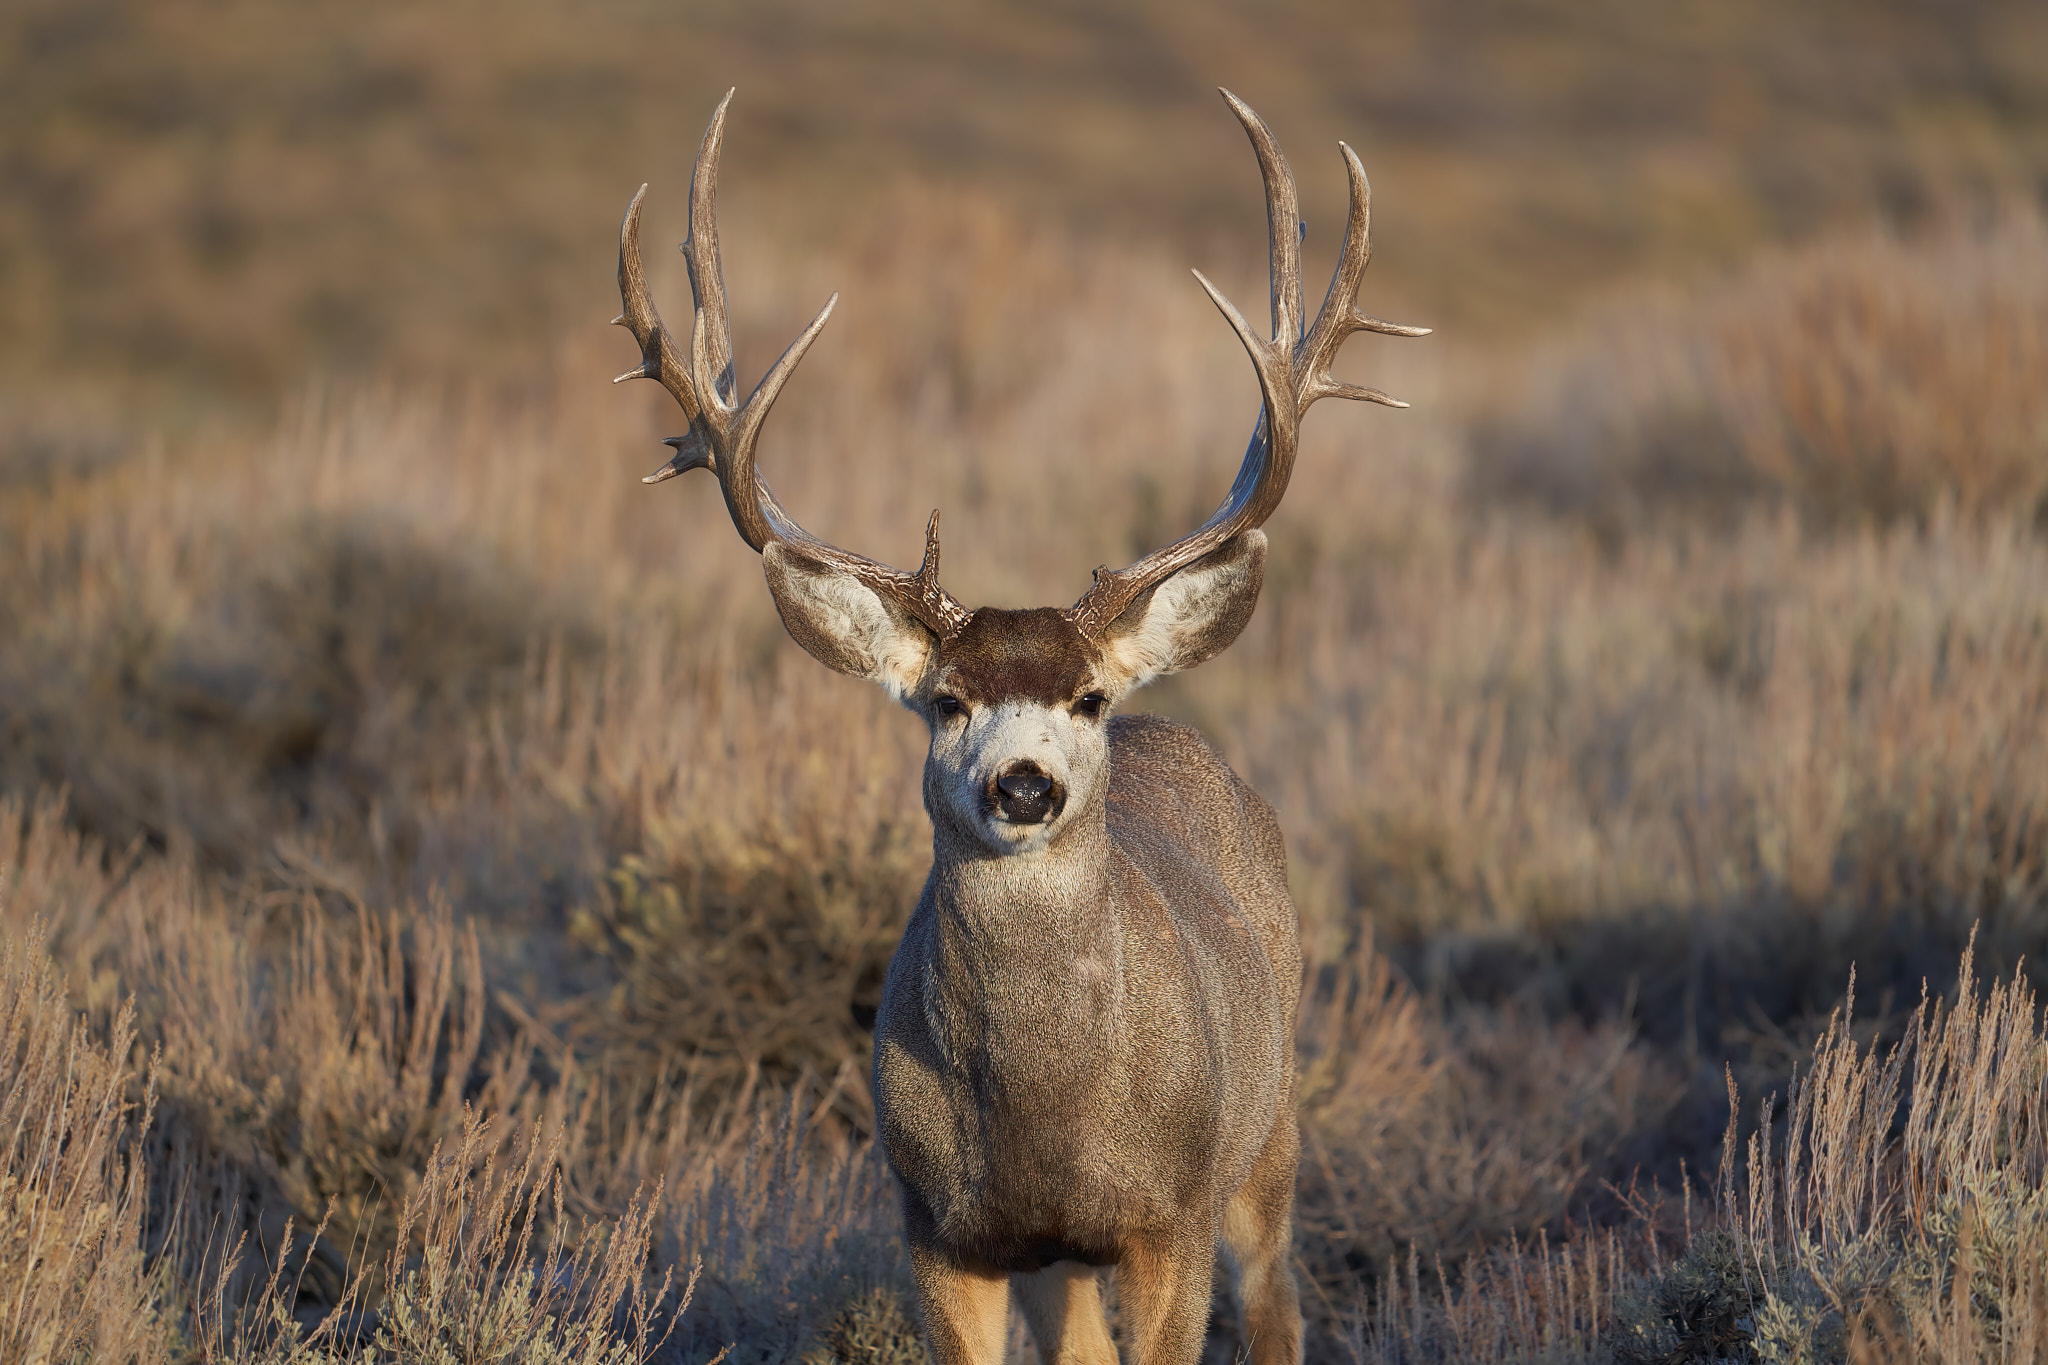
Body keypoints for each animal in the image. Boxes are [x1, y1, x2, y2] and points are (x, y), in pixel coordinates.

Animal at [610, 88, 1425, 1365]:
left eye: (1087, 696)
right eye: (943, 700)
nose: (1025, 784)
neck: (1046, 1124)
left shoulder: (1166, 1217)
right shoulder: (940, 1226)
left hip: (1269, 1123)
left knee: (1278, 1296)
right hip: (1064, 1252)